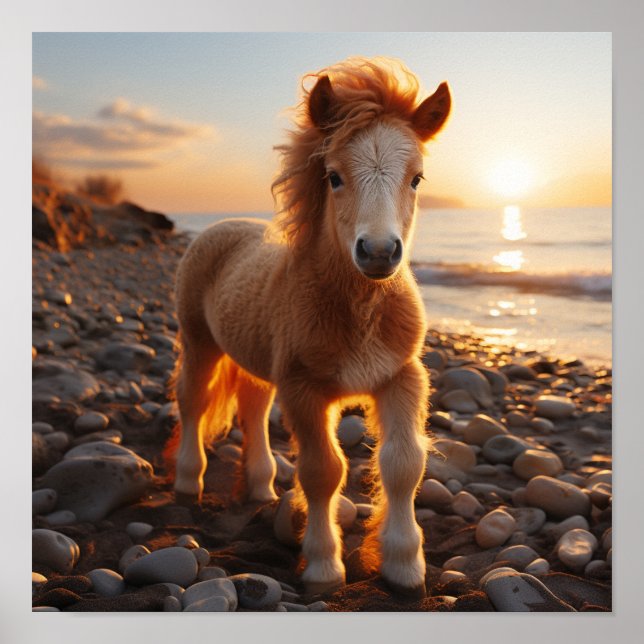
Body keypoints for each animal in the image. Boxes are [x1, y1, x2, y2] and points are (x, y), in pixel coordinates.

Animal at [170, 57, 451, 597]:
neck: (358, 312)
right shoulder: (304, 389)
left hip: (256, 359)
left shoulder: (401, 377)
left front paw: (405, 567)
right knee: (193, 402)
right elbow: (323, 472)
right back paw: (188, 482)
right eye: (334, 177)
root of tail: (223, 224)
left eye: (418, 178)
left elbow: (404, 464)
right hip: (199, 341)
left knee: (253, 408)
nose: (378, 252)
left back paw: (261, 486)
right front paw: (323, 566)